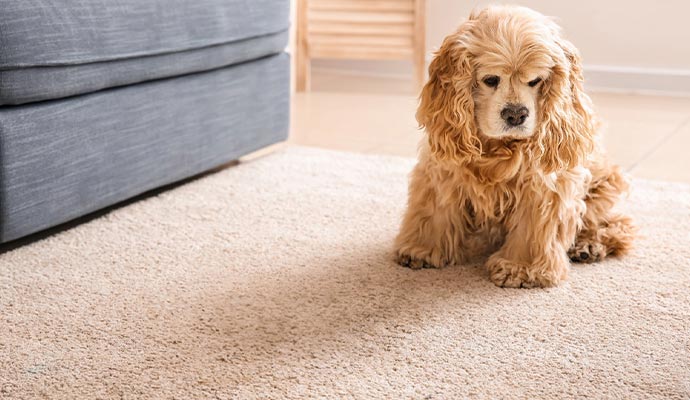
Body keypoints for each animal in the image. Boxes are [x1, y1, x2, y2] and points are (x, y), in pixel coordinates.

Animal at [392, 5, 636, 288]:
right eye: (490, 79)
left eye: (535, 80)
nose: (516, 114)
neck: (498, 147)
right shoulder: (443, 170)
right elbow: (434, 211)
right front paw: (421, 249)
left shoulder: (543, 185)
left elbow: (533, 228)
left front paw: (521, 268)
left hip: (604, 185)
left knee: (616, 223)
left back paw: (588, 246)